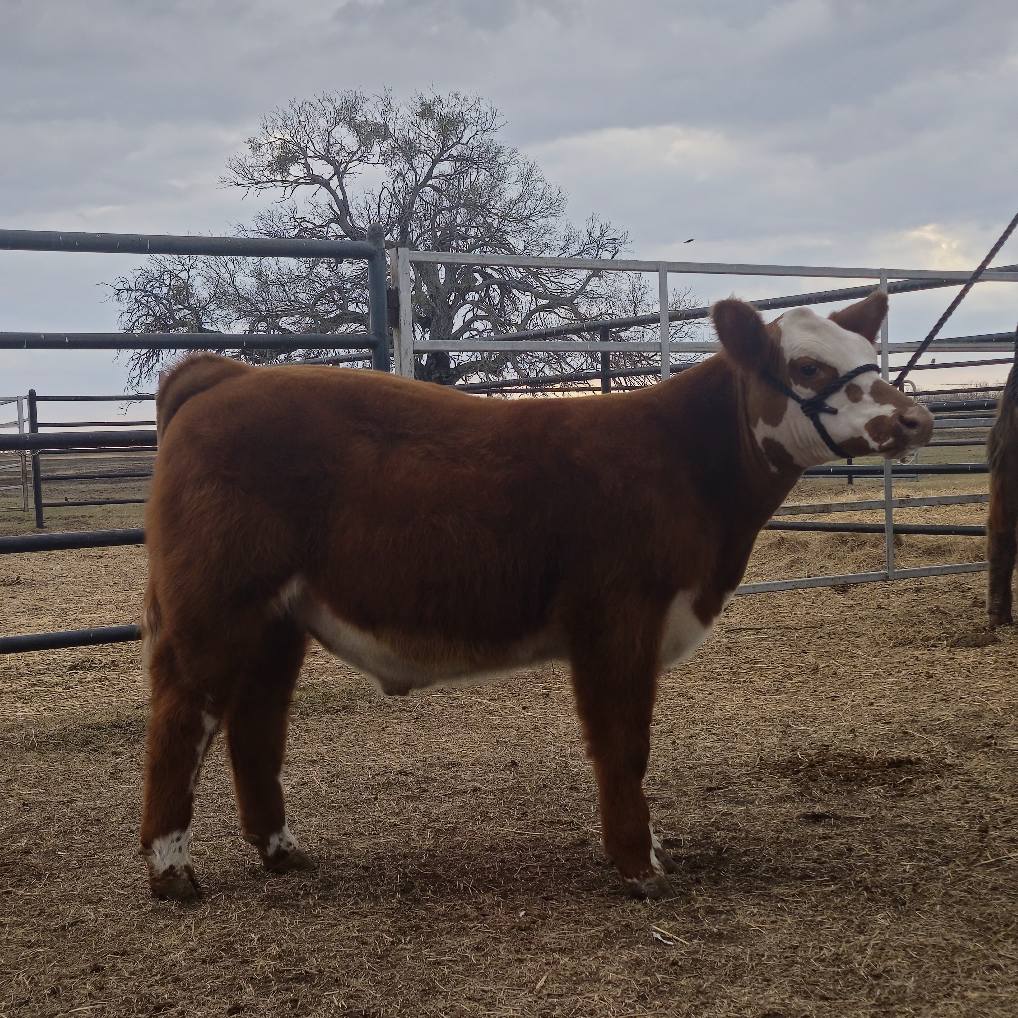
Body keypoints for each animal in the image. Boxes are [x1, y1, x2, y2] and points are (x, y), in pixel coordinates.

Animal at [140, 290, 933, 902]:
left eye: (870, 355)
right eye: (807, 366)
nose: (915, 419)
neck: (686, 465)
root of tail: (226, 374)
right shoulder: (619, 617)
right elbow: (624, 743)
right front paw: (640, 868)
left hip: (278, 617)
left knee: (255, 721)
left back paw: (282, 851)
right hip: (214, 603)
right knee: (184, 716)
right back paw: (173, 873)